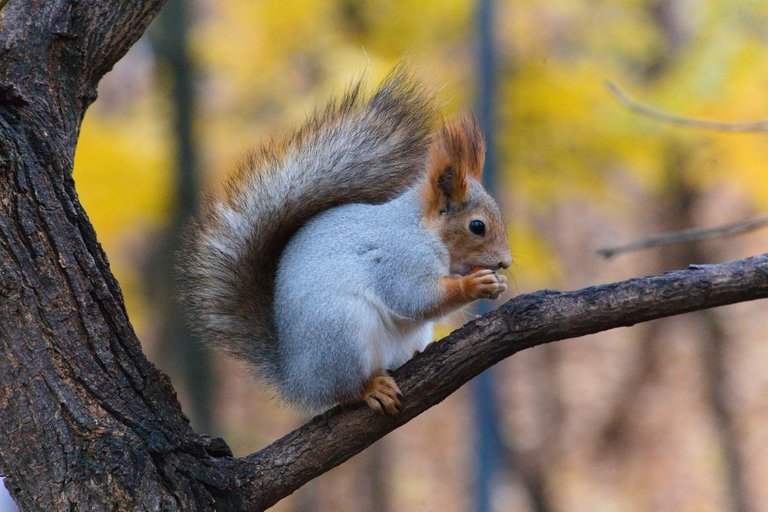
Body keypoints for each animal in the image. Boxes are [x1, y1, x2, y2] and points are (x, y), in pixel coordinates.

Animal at [179, 67, 511, 416]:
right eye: (477, 226)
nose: (506, 262)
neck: (423, 229)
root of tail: (297, 379)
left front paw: (496, 282)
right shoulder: (400, 256)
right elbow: (414, 298)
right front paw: (475, 284)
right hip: (343, 332)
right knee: (343, 390)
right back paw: (370, 389)